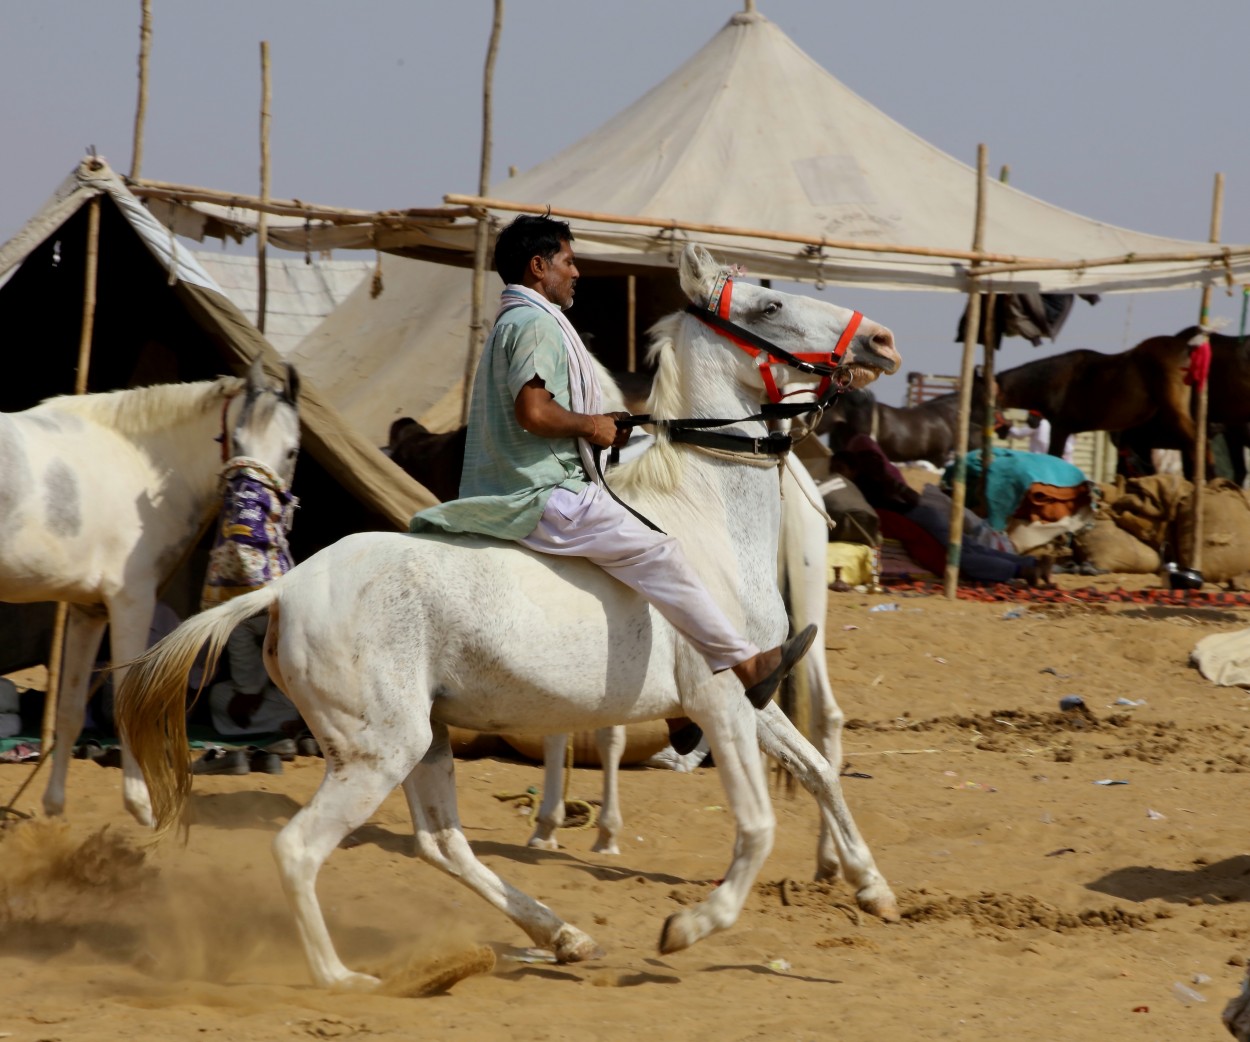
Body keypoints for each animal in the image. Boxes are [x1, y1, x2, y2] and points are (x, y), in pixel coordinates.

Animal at [0, 357, 300, 819]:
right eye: (236, 438)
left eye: (292, 451)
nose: (243, 544)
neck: (141, 466)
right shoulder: (131, 601)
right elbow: (128, 702)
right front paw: (140, 804)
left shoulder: (88, 609)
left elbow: (70, 709)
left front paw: (53, 806)